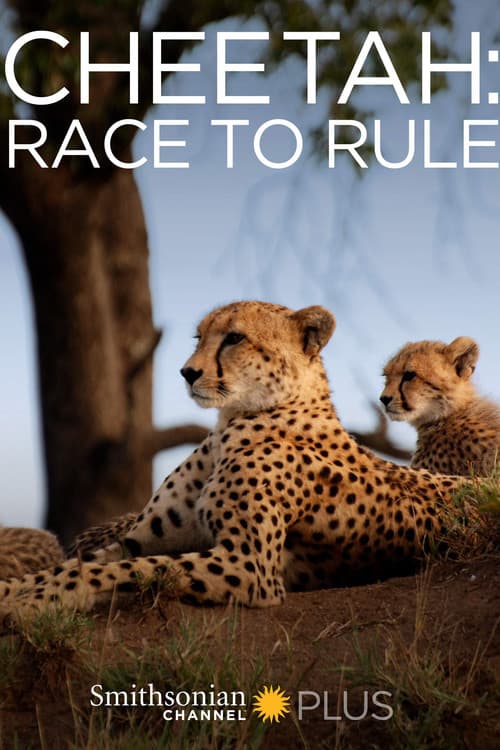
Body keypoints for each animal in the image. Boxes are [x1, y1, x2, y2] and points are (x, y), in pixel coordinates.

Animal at [0, 301, 464, 619]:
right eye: (198, 338)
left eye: (234, 338)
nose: (187, 372)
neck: (232, 421)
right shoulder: (141, 539)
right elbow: (76, 564)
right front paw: (17, 590)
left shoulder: (249, 566)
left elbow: (122, 570)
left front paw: (40, 600)